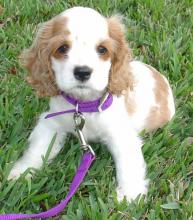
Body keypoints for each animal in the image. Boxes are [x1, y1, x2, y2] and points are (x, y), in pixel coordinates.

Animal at [8, 6, 176, 203]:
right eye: (62, 48)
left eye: (102, 49)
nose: (82, 72)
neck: (84, 105)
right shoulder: (51, 124)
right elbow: (38, 149)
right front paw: (21, 172)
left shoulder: (121, 136)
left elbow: (128, 165)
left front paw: (129, 195)